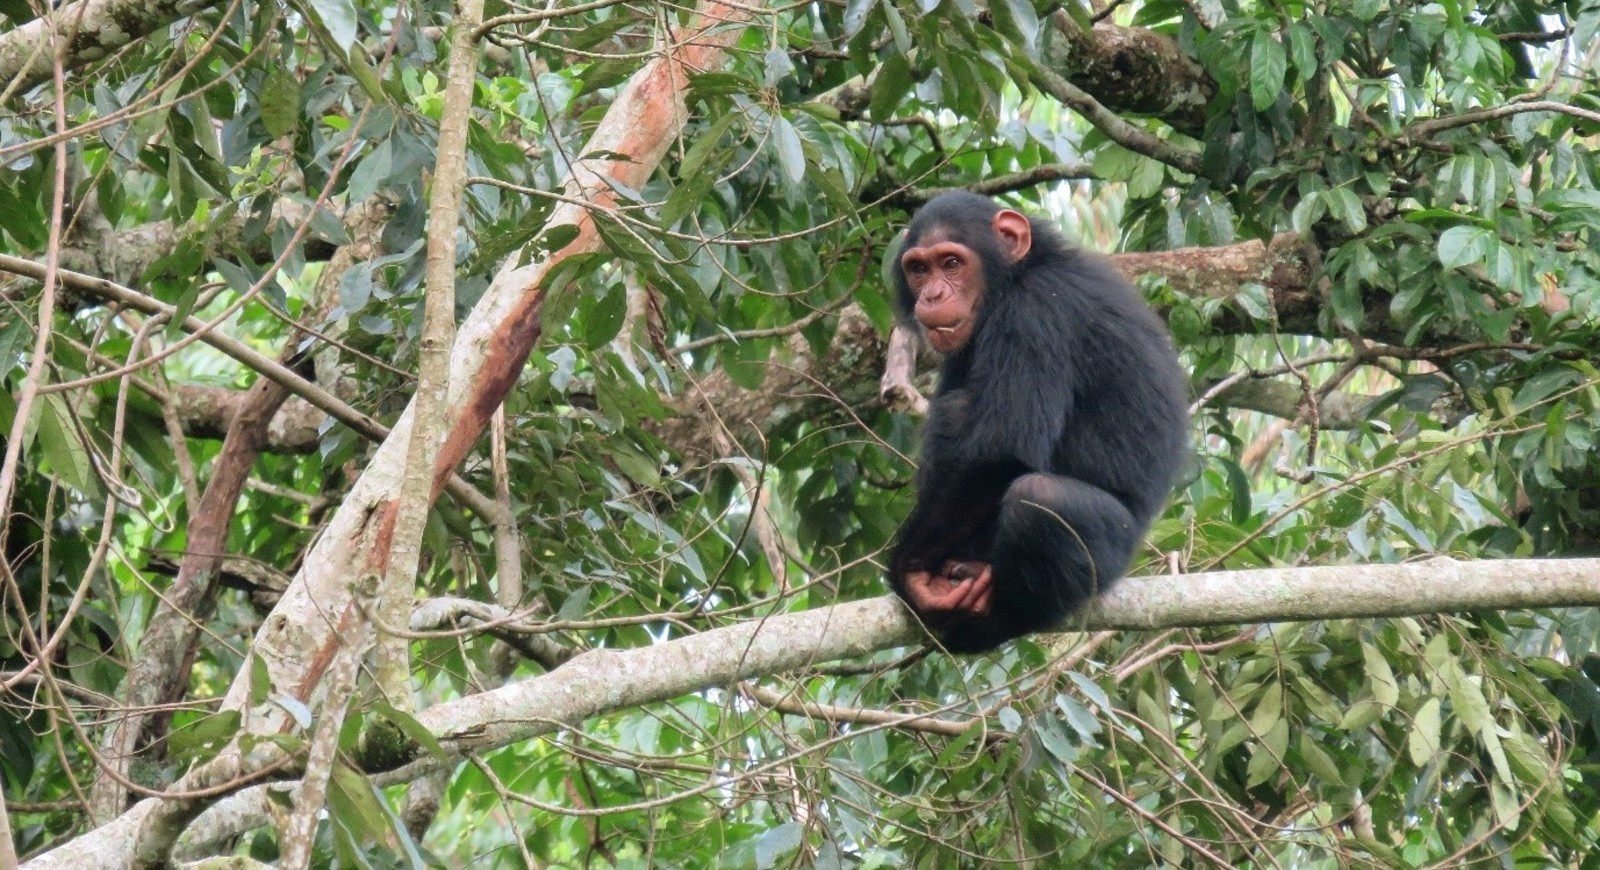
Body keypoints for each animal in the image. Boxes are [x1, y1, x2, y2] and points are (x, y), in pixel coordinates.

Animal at [889, 190, 1190, 652]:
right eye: (919, 269)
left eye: (952, 263)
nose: (934, 294)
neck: (1015, 277)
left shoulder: (1035, 313)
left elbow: (1001, 451)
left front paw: (911, 572)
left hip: (1109, 553)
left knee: (1039, 499)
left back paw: (991, 621)